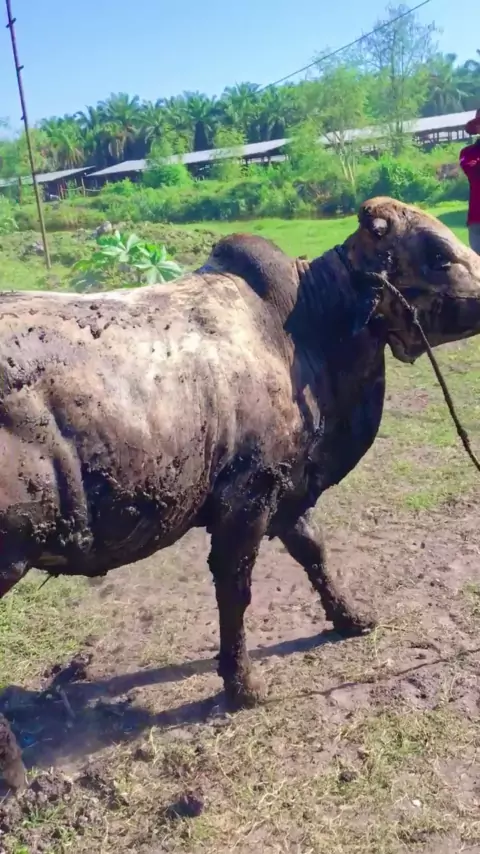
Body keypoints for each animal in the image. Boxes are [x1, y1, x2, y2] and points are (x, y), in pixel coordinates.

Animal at [1, 196, 480, 718]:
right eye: (439, 254)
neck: (303, 330)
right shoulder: (247, 498)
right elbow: (235, 589)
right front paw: (242, 685)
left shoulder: (290, 486)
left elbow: (314, 551)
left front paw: (351, 617)